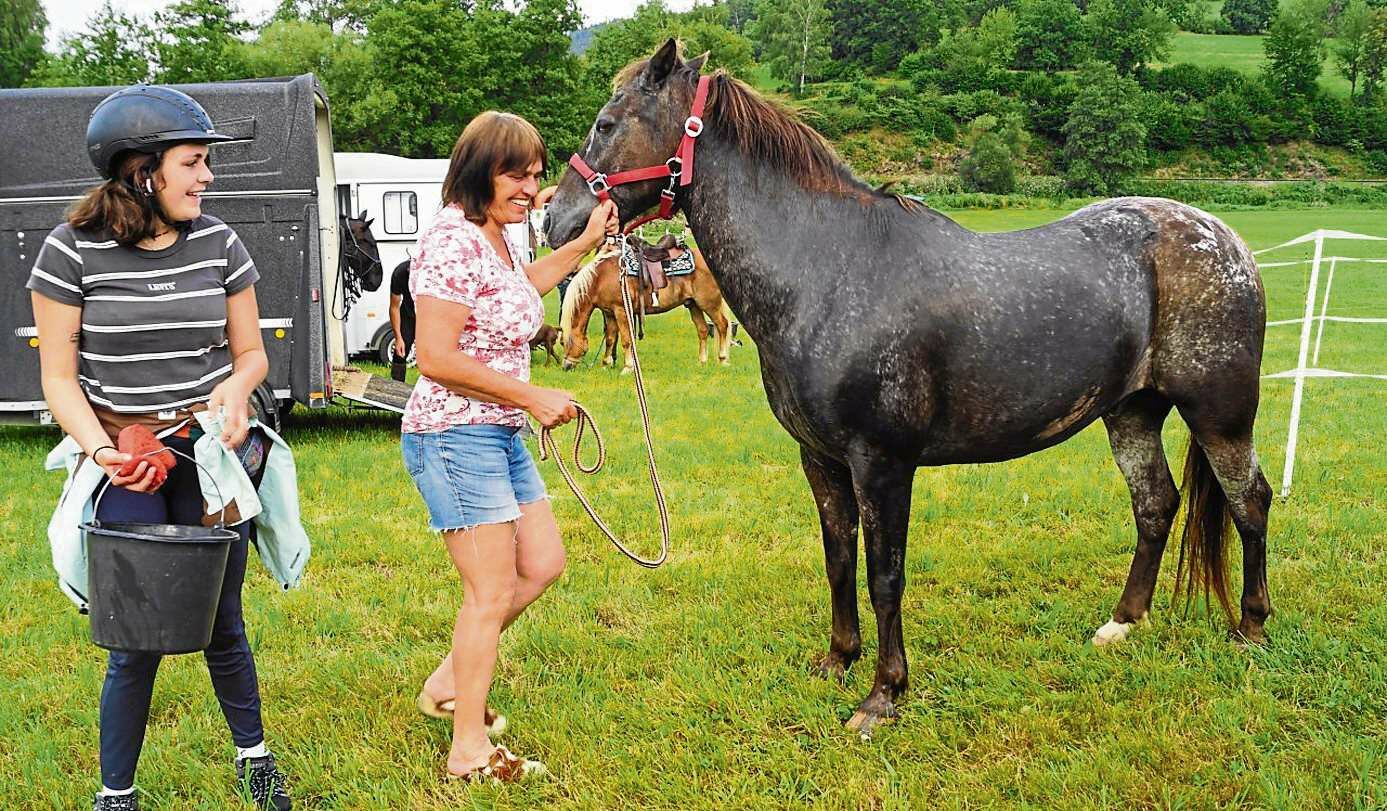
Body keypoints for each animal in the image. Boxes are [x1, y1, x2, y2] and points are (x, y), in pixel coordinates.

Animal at [560, 231, 743, 368]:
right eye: (561, 343)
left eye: (567, 343)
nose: (566, 367)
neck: (602, 277)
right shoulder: (610, 313)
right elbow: (611, 339)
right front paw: (606, 364)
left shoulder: (621, 311)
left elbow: (626, 340)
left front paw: (627, 367)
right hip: (693, 304)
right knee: (703, 330)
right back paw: (702, 362)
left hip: (709, 303)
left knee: (722, 325)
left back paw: (723, 359)